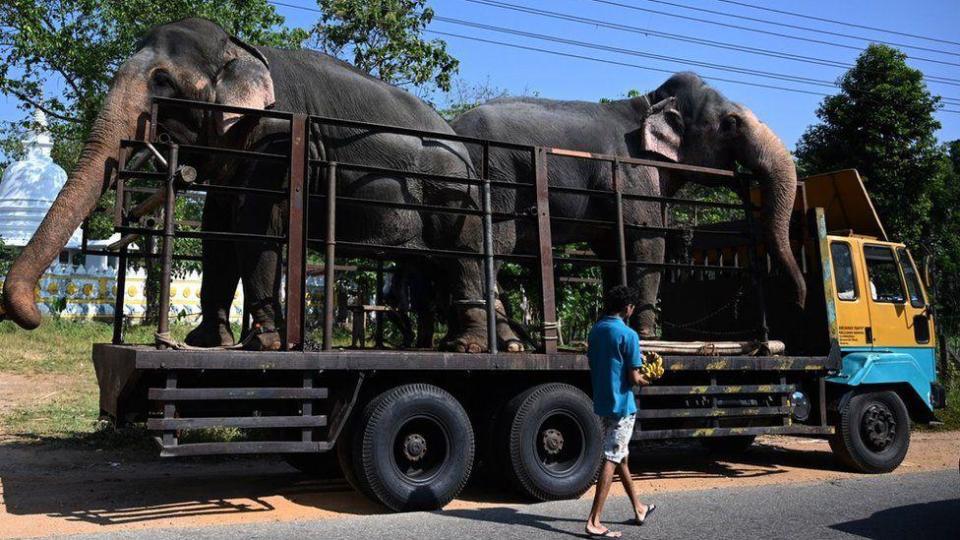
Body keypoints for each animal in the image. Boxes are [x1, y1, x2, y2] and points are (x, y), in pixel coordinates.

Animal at [0, 16, 512, 352]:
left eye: (163, 82)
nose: (38, 315)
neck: (242, 49)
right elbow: (216, 229)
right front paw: (205, 340)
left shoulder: (276, 137)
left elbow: (252, 224)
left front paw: (262, 342)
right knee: (438, 265)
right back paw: (489, 344)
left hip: (452, 194)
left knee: (461, 257)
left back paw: (467, 348)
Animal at [450, 73, 804, 340]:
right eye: (731, 123)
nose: (798, 303)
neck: (650, 102)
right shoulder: (633, 172)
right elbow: (648, 241)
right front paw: (646, 338)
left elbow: (610, 249)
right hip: (495, 178)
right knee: (484, 246)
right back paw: (486, 344)